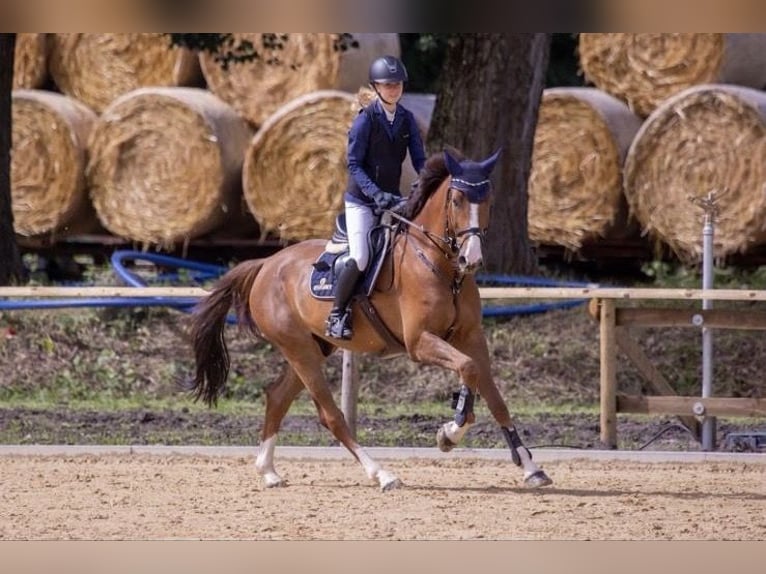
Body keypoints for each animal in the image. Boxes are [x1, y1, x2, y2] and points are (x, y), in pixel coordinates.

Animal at [189, 151, 556, 492]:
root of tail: (266, 263)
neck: (441, 266)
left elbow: (494, 395)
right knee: (331, 416)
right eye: (456, 200)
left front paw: (531, 468)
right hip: (299, 350)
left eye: (488, 200)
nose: (472, 258)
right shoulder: (420, 342)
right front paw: (450, 433)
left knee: (278, 397)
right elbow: (467, 369)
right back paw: (382, 474)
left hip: (312, 348)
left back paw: (268, 471)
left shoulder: (472, 337)